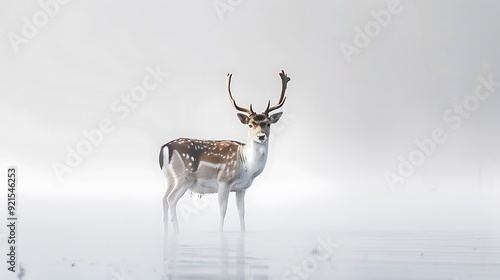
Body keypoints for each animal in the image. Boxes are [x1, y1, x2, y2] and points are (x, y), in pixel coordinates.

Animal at [156, 70, 290, 234]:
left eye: (268, 123)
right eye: (250, 124)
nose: (261, 136)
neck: (246, 165)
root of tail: (165, 147)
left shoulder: (241, 188)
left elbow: (242, 212)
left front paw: (243, 232)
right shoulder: (224, 181)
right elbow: (223, 210)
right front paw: (220, 232)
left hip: (169, 178)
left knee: (164, 199)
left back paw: (166, 231)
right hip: (184, 177)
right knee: (171, 200)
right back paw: (177, 231)